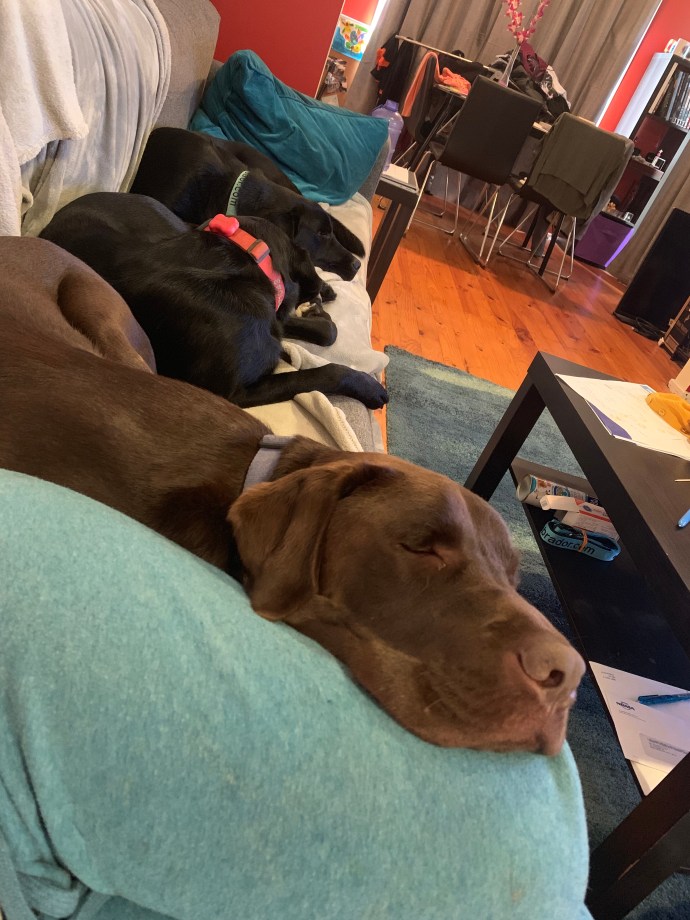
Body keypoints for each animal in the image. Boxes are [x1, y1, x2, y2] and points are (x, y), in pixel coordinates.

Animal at [40, 192, 388, 410]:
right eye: (324, 234)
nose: (357, 265)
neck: (245, 259)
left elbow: (325, 330)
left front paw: (317, 312)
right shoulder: (230, 392)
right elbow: (321, 373)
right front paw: (369, 387)